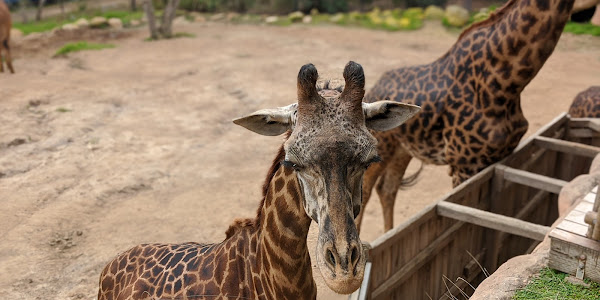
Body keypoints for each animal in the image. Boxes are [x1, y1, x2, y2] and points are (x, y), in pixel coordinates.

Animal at [356, 0, 576, 232]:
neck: (506, 85)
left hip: (402, 149)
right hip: (383, 146)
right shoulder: (463, 165)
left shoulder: (495, 158)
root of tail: (375, 88)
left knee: (387, 189)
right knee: (367, 191)